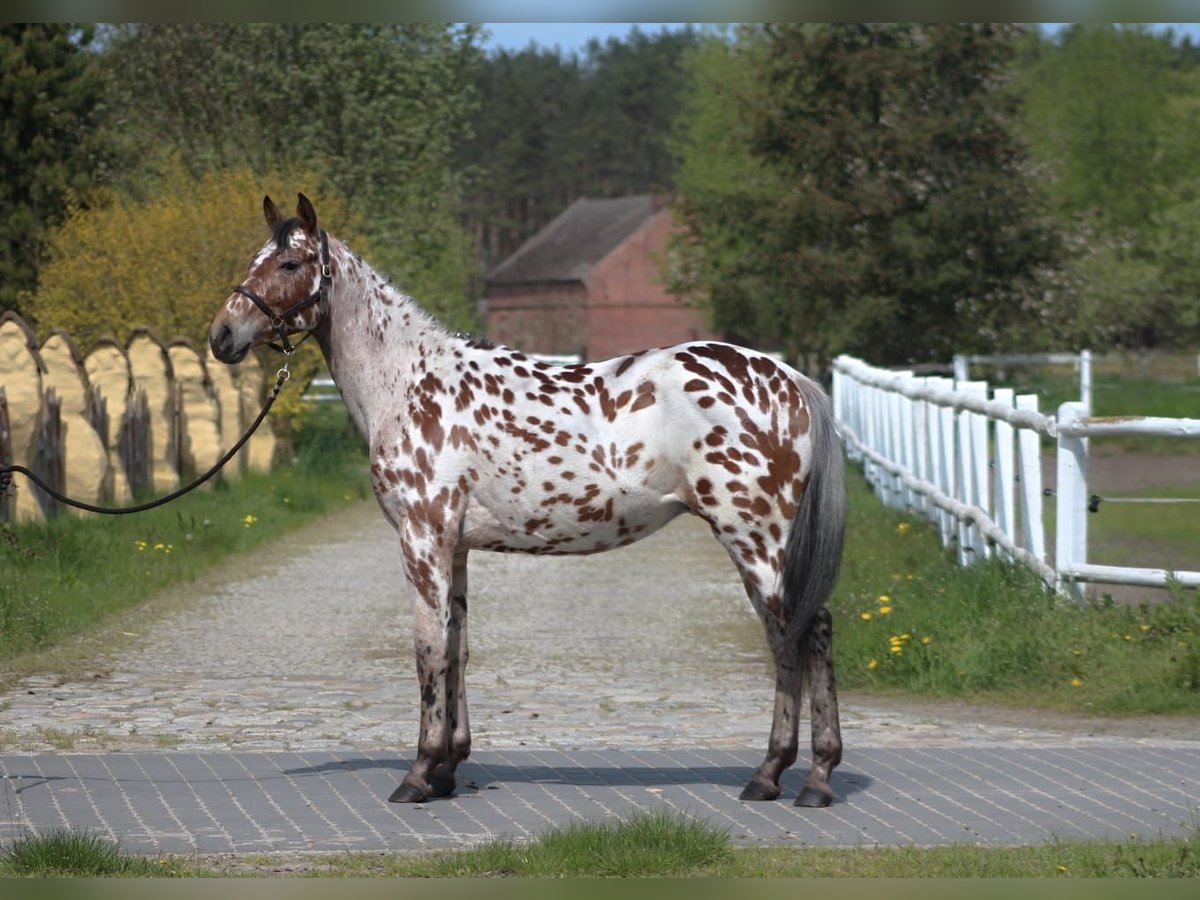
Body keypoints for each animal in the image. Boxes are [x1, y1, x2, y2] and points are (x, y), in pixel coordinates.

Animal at [213, 192, 854, 811]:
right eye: (252, 258)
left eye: (290, 264)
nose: (223, 335)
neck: (408, 381)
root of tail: (791, 379)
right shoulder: (455, 547)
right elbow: (457, 647)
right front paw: (448, 768)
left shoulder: (421, 538)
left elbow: (427, 649)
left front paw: (419, 774)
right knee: (794, 634)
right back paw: (785, 776)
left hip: (757, 538)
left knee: (804, 632)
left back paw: (801, 778)